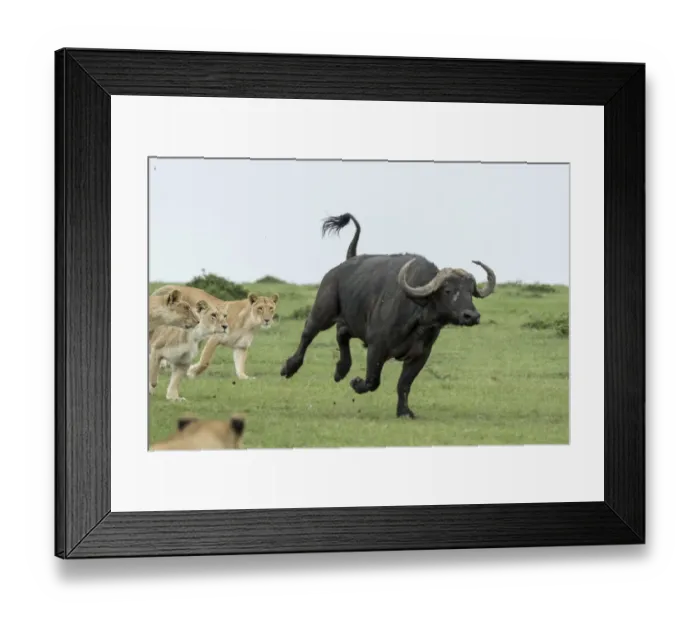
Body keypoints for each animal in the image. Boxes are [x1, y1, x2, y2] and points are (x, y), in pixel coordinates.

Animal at [280, 213, 496, 419]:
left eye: (470, 291)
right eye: (448, 290)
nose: (471, 316)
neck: (418, 317)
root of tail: (342, 266)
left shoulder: (420, 355)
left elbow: (404, 384)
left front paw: (404, 411)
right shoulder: (376, 348)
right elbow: (372, 381)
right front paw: (356, 383)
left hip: (352, 322)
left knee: (341, 334)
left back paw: (341, 370)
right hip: (323, 311)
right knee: (308, 334)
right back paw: (289, 367)